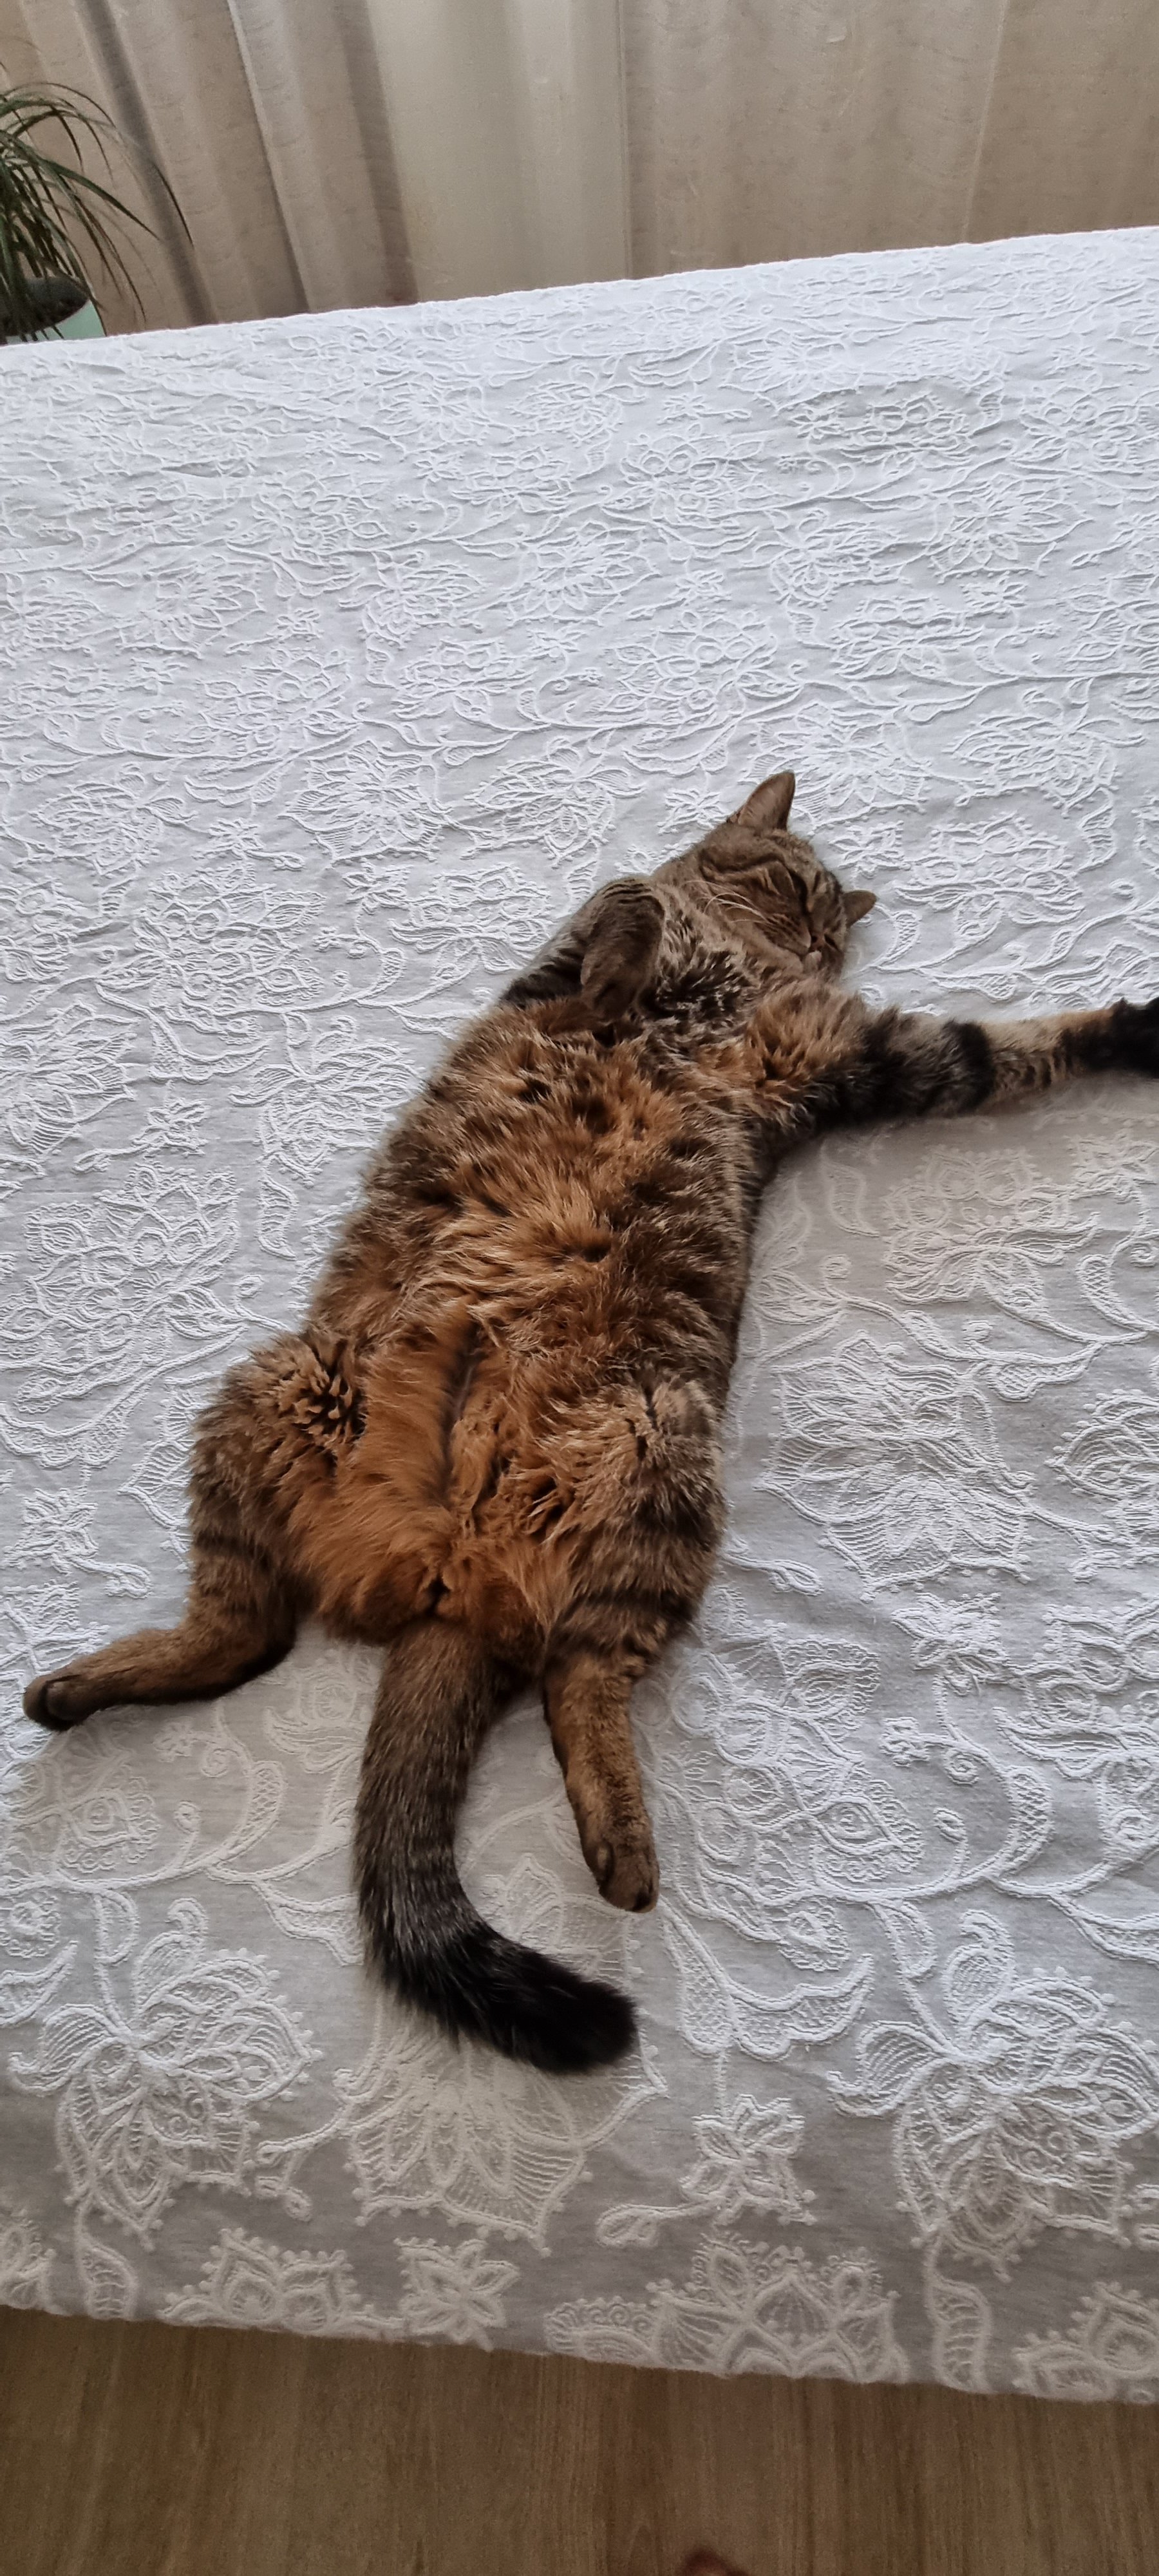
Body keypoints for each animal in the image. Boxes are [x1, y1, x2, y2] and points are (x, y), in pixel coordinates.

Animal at [24, 771, 1159, 2073]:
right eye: (801, 884)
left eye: (832, 915)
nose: (819, 933)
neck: (737, 963)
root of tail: (444, 1572)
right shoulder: (574, 970)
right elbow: (619, 910)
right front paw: (644, 927)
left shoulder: (857, 1053)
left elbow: (1005, 1049)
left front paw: (1129, 1030)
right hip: (278, 1389)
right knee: (252, 1633)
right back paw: (82, 1688)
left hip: (652, 1459)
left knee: (562, 1676)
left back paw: (622, 1848)